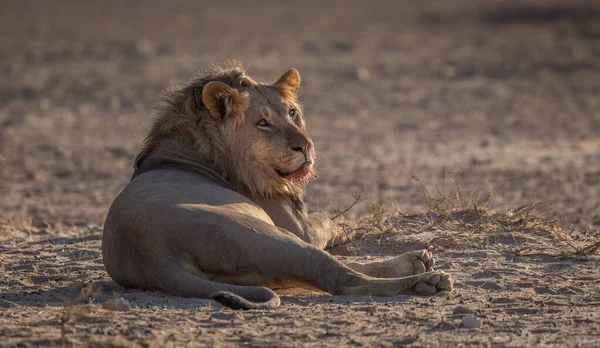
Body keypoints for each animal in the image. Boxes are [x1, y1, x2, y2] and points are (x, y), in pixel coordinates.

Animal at [102, 64, 450, 308]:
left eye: (293, 113)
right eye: (263, 123)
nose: (306, 146)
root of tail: (156, 255)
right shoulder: (298, 227)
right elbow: (325, 220)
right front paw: (346, 229)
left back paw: (415, 261)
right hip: (269, 236)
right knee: (341, 278)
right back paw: (426, 281)